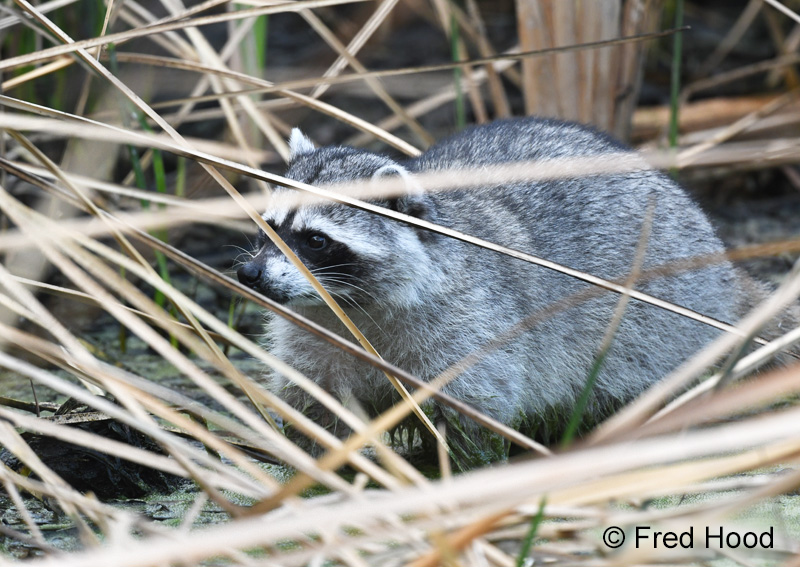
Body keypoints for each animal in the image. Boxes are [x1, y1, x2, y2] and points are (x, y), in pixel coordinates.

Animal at [237, 117, 743, 465]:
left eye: (315, 240)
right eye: (269, 227)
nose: (250, 274)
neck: (352, 305)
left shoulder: (472, 327)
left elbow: (475, 414)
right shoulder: (314, 333)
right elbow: (313, 405)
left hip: (658, 327)